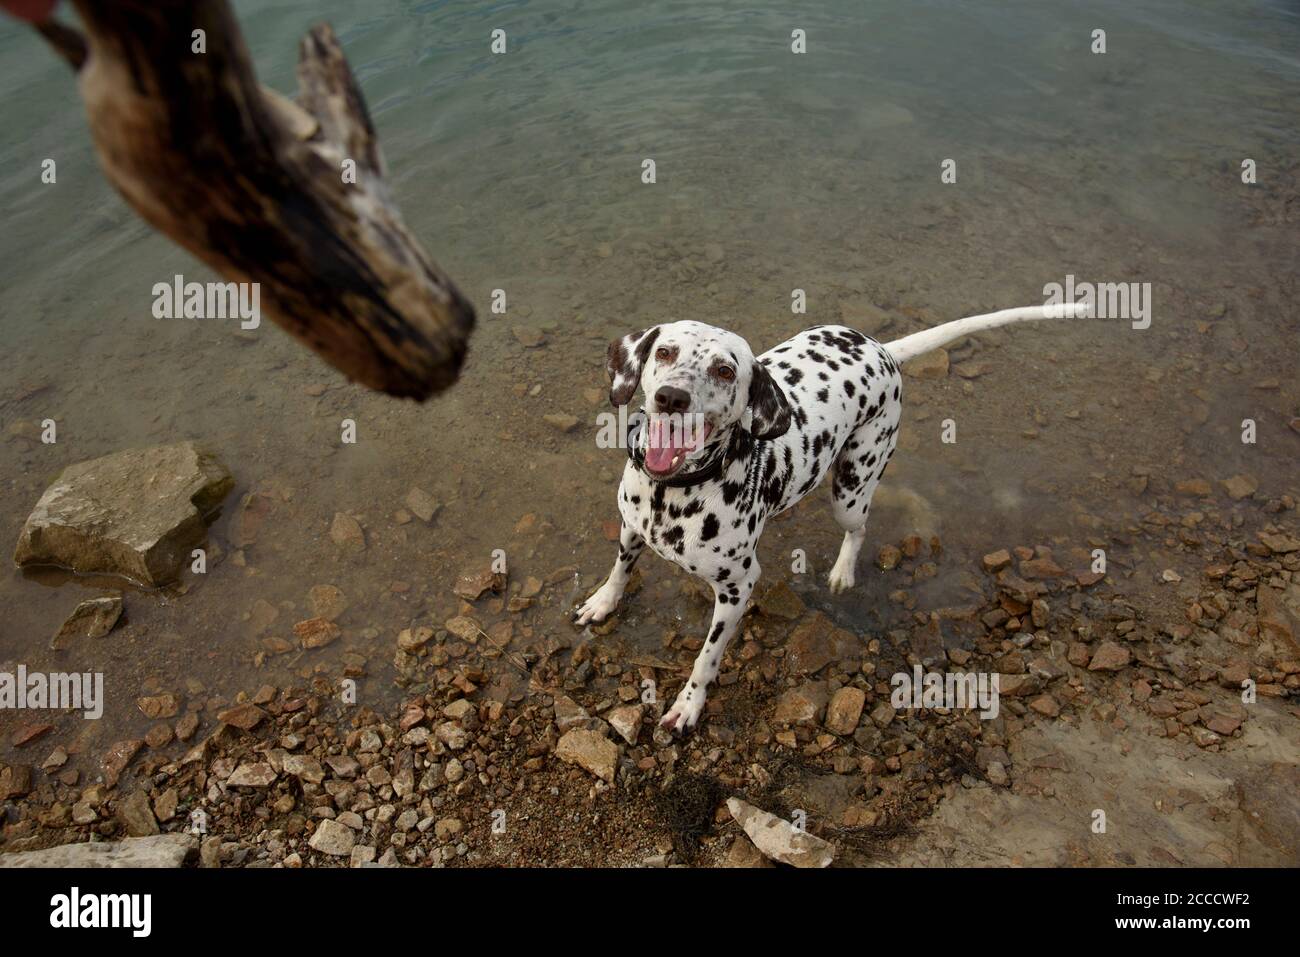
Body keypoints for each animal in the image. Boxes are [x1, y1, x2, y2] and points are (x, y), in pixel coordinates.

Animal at [577, 306, 1086, 733]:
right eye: (665, 352)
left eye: (725, 370)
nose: (672, 397)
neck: (675, 490)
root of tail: (884, 350)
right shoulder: (630, 527)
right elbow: (620, 570)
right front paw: (603, 602)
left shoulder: (738, 588)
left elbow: (705, 660)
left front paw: (688, 704)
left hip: (852, 489)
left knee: (858, 529)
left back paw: (843, 571)